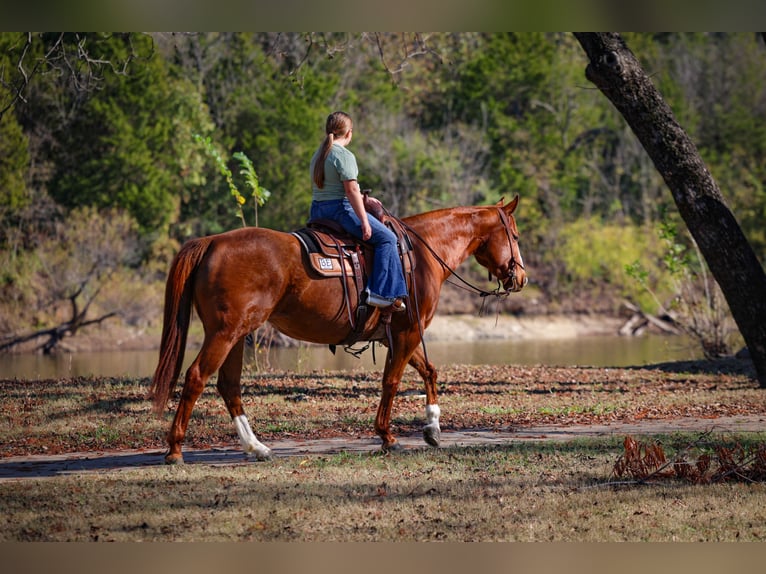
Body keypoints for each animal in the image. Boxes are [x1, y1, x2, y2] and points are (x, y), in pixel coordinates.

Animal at [149, 195, 527, 464]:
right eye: (515, 235)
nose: (521, 277)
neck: (419, 254)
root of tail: (212, 242)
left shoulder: (397, 335)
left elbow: (429, 371)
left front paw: (432, 427)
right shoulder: (407, 332)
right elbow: (392, 380)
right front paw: (387, 436)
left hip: (237, 335)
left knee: (229, 386)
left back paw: (256, 447)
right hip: (224, 333)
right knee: (197, 377)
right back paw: (175, 449)